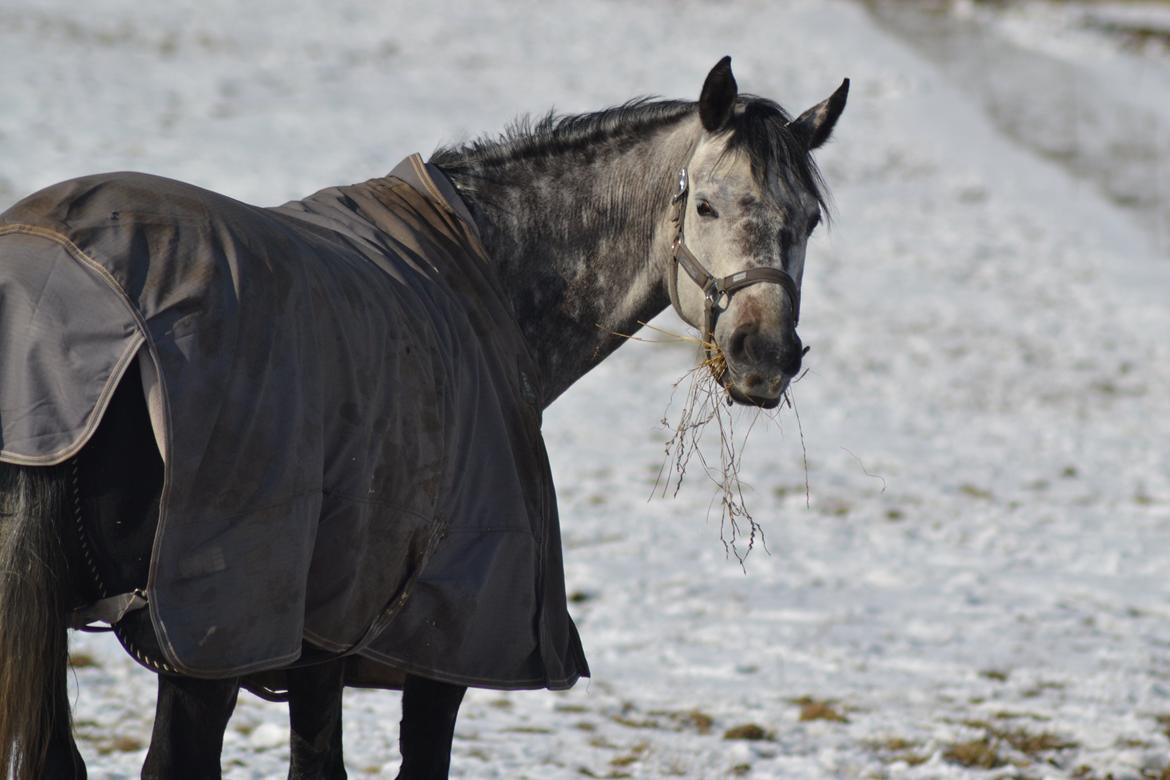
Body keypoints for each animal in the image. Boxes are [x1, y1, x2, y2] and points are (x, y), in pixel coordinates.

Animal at [0, 57, 842, 776]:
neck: (483, 270)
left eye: (806, 221)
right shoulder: (447, 647)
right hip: (206, 636)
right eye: (705, 204)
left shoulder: (325, 634)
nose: (765, 354)